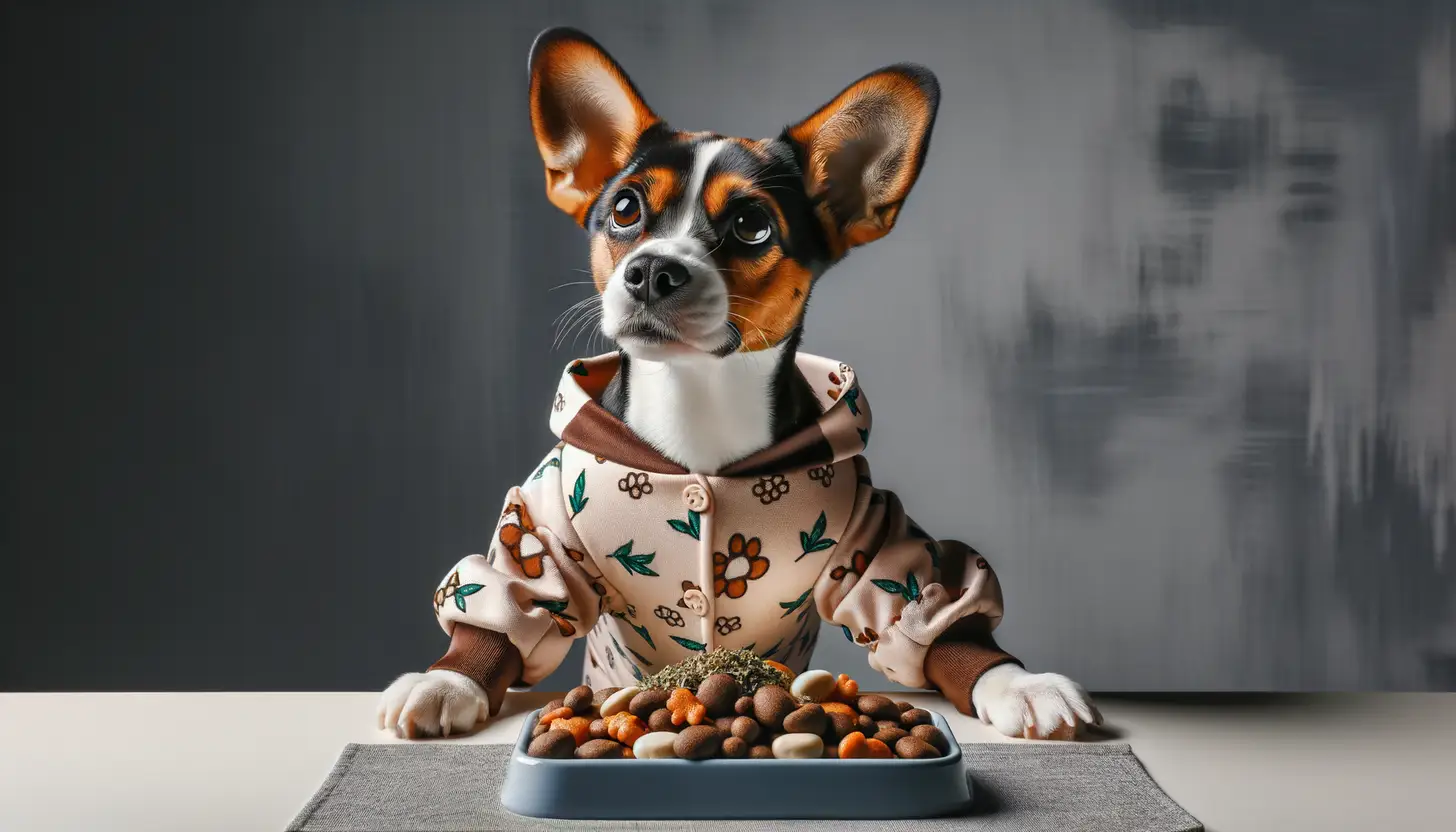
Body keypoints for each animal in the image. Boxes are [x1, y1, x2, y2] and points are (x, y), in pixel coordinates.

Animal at [381, 26, 1094, 743]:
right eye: (624, 208)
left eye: (752, 225)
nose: (650, 271)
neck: (697, 400)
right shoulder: (541, 531)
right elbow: (502, 611)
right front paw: (446, 682)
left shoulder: (877, 550)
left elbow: (935, 619)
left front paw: (1019, 684)